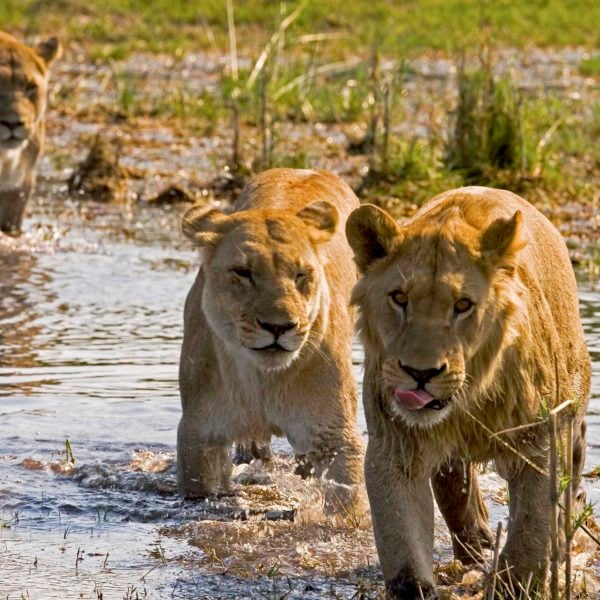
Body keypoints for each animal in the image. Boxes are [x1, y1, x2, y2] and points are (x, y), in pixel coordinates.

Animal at [177, 168, 366, 510]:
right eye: (243, 272)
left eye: (302, 275)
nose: (279, 327)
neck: (263, 379)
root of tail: (302, 169)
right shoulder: (198, 434)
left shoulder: (335, 436)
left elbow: (346, 499)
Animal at [344, 186, 592, 596]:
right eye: (399, 298)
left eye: (462, 305)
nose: (420, 373)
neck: (470, 395)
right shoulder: (396, 443)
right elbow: (402, 534)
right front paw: (416, 588)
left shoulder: (540, 440)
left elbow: (531, 527)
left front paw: (515, 586)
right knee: (452, 483)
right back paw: (477, 544)